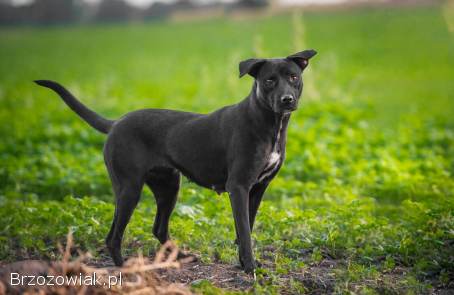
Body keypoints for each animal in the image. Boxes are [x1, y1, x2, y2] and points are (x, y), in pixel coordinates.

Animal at [34, 49, 316, 276]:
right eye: (269, 80)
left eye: (293, 77)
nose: (287, 100)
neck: (270, 124)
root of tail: (115, 123)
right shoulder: (238, 187)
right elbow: (245, 232)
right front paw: (249, 267)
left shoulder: (258, 189)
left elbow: (246, 227)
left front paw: (243, 262)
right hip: (129, 188)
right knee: (113, 236)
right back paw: (127, 268)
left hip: (168, 187)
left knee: (158, 228)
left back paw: (179, 257)